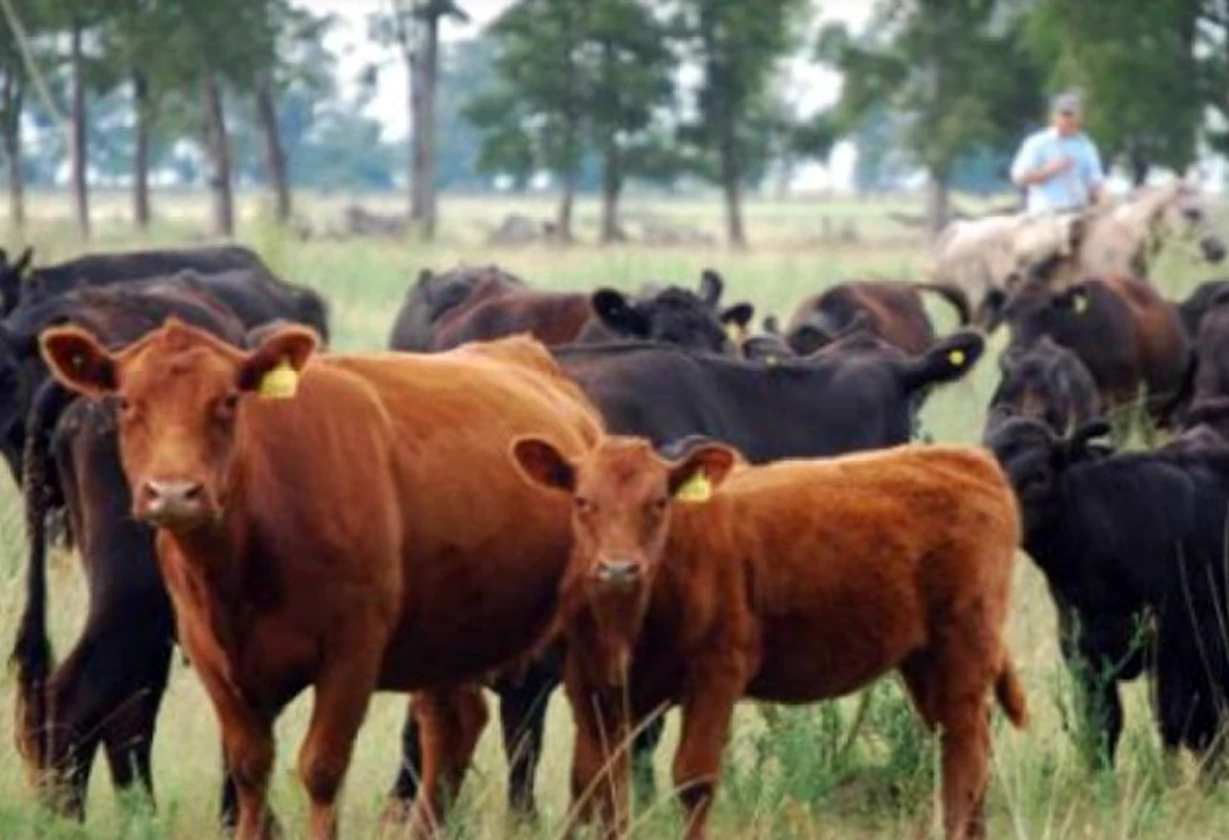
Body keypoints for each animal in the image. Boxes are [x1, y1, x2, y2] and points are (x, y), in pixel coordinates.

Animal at [39, 321, 603, 840]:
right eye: (126, 403)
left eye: (228, 401)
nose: (174, 493)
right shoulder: (210, 655)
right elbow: (249, 767)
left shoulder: (351, 652)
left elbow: (321, 767)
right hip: (447, 637)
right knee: (453, 726)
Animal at [509, 434, 1026, 840]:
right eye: (582, 501)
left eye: (658, 502)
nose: (619, 568)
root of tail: (967, 458)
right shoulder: (588, 687)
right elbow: (595, 787)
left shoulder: (717, 673)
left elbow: (693, 779)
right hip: (924, 661)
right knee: (963, 745)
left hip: (964, 647)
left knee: (965, 760)